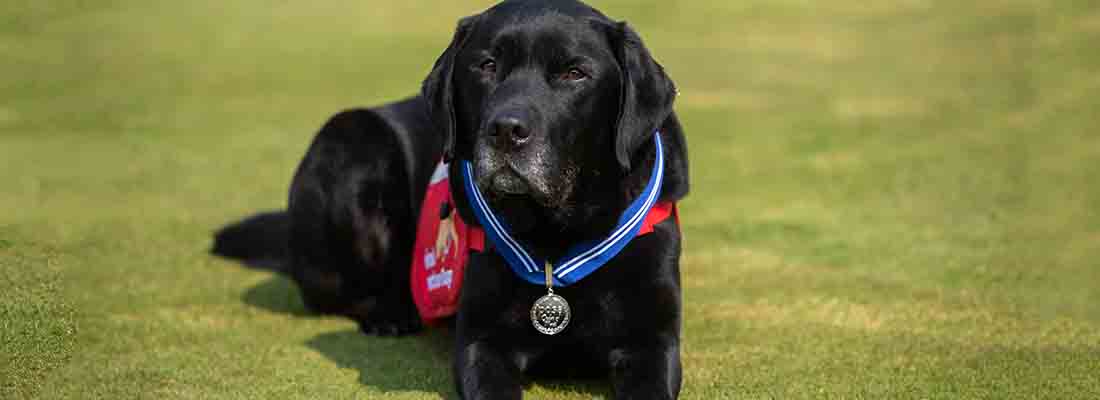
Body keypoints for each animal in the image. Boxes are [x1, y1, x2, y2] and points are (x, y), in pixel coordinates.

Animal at [213, 1, 686, 397]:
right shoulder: (481, 344)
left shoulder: (653, 343)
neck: (553, 235)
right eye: (487, 65)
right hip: (353, 140)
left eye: (574, 73)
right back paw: (391, 314)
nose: (506, 130)